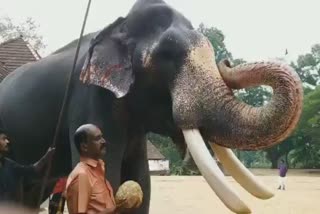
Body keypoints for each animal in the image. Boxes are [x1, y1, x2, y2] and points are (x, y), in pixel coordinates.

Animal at [0, 0, 302, 214]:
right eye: (167, 55)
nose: (227, 63)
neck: (118, 26)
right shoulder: (89, 98)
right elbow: (111, 177)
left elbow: (142, 181)